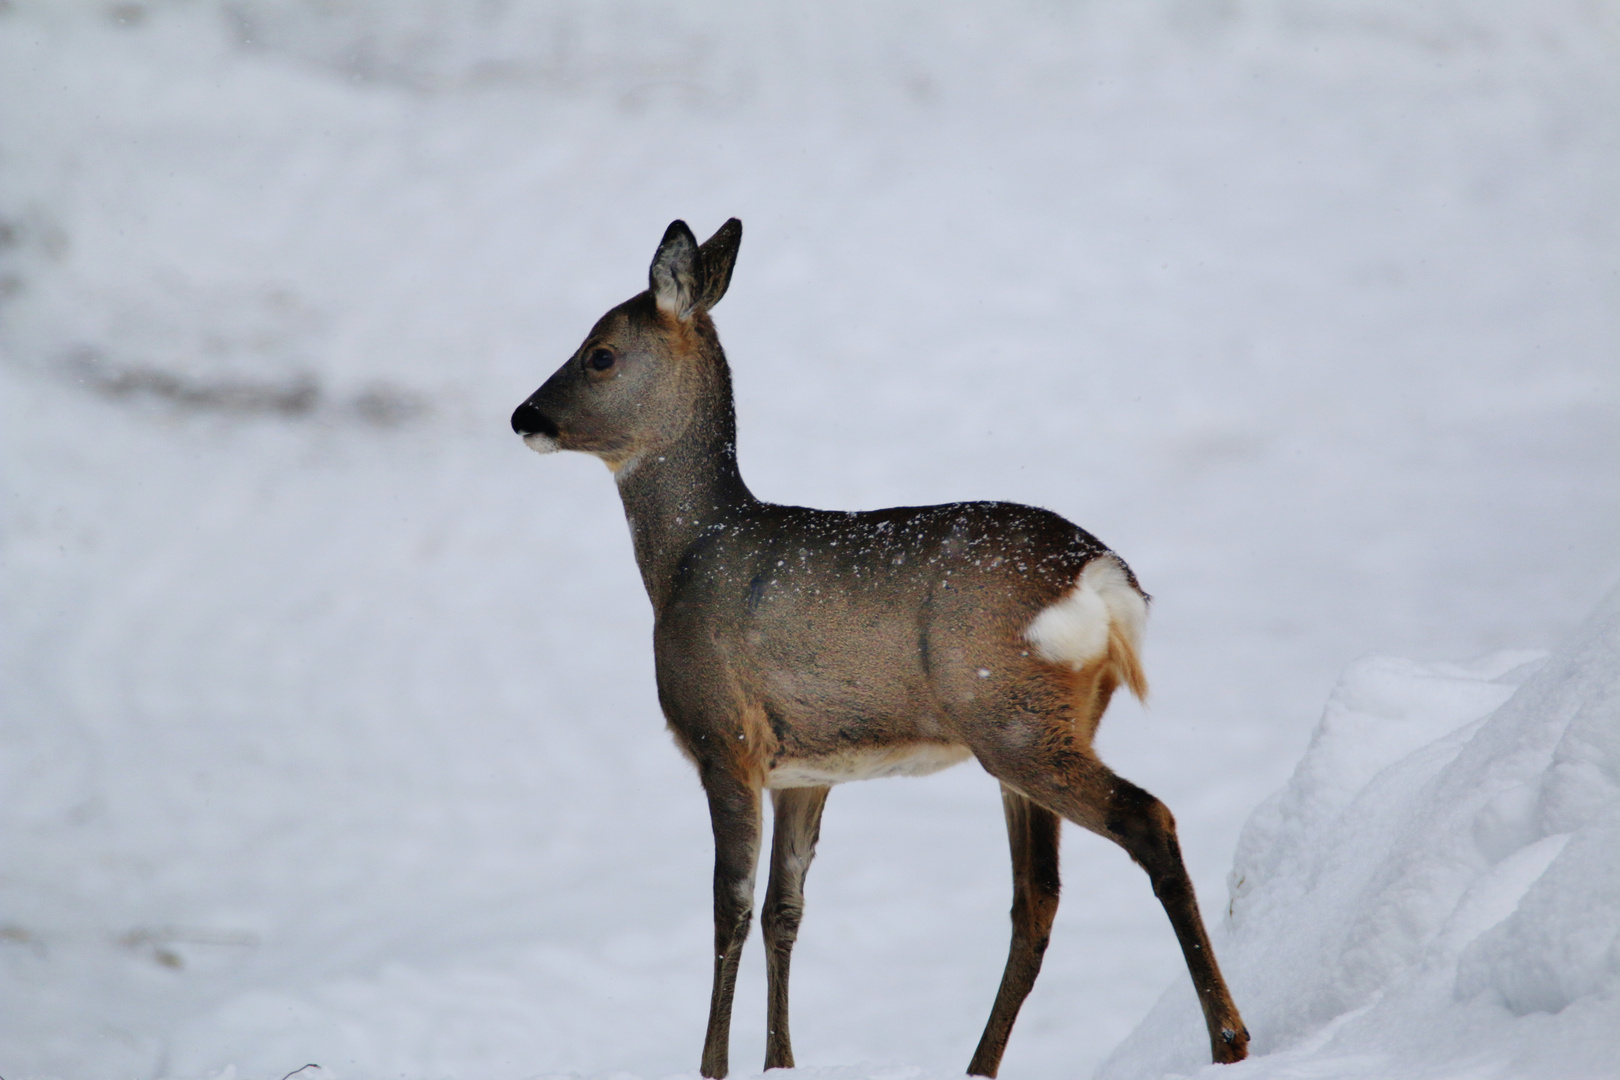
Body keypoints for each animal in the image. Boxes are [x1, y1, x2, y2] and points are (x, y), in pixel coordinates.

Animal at [511, 216, 1244, 1075]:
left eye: (599, 352)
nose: (524, 415)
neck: (687, 556)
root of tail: (1101, 578)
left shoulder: (723, 737)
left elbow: (730, 907)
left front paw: (713, 1066)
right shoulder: (806, 769)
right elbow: (784, 909)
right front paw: (781, 1063)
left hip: (1012, 717)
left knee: (1147, 821)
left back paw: (1229, 1037)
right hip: (1041, 724)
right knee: (1036, 899)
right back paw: (979, 1065)